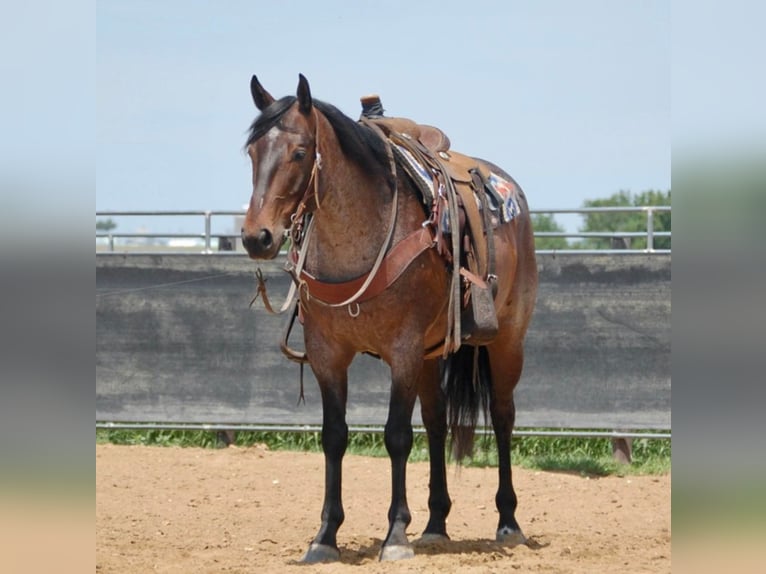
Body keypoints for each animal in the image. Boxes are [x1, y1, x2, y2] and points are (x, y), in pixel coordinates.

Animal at [242, 74, 540, 564]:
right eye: (251, 152)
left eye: (300, 152)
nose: (256, 237)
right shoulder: (328, 355)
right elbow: (334, 436)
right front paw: (325, 536)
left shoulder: (402, 350)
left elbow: (397, 434)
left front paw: (396, 535)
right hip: (431, 354)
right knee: (437, 422)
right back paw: (436, 524)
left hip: (506, 341)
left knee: (502, 416)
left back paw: (508, 522)